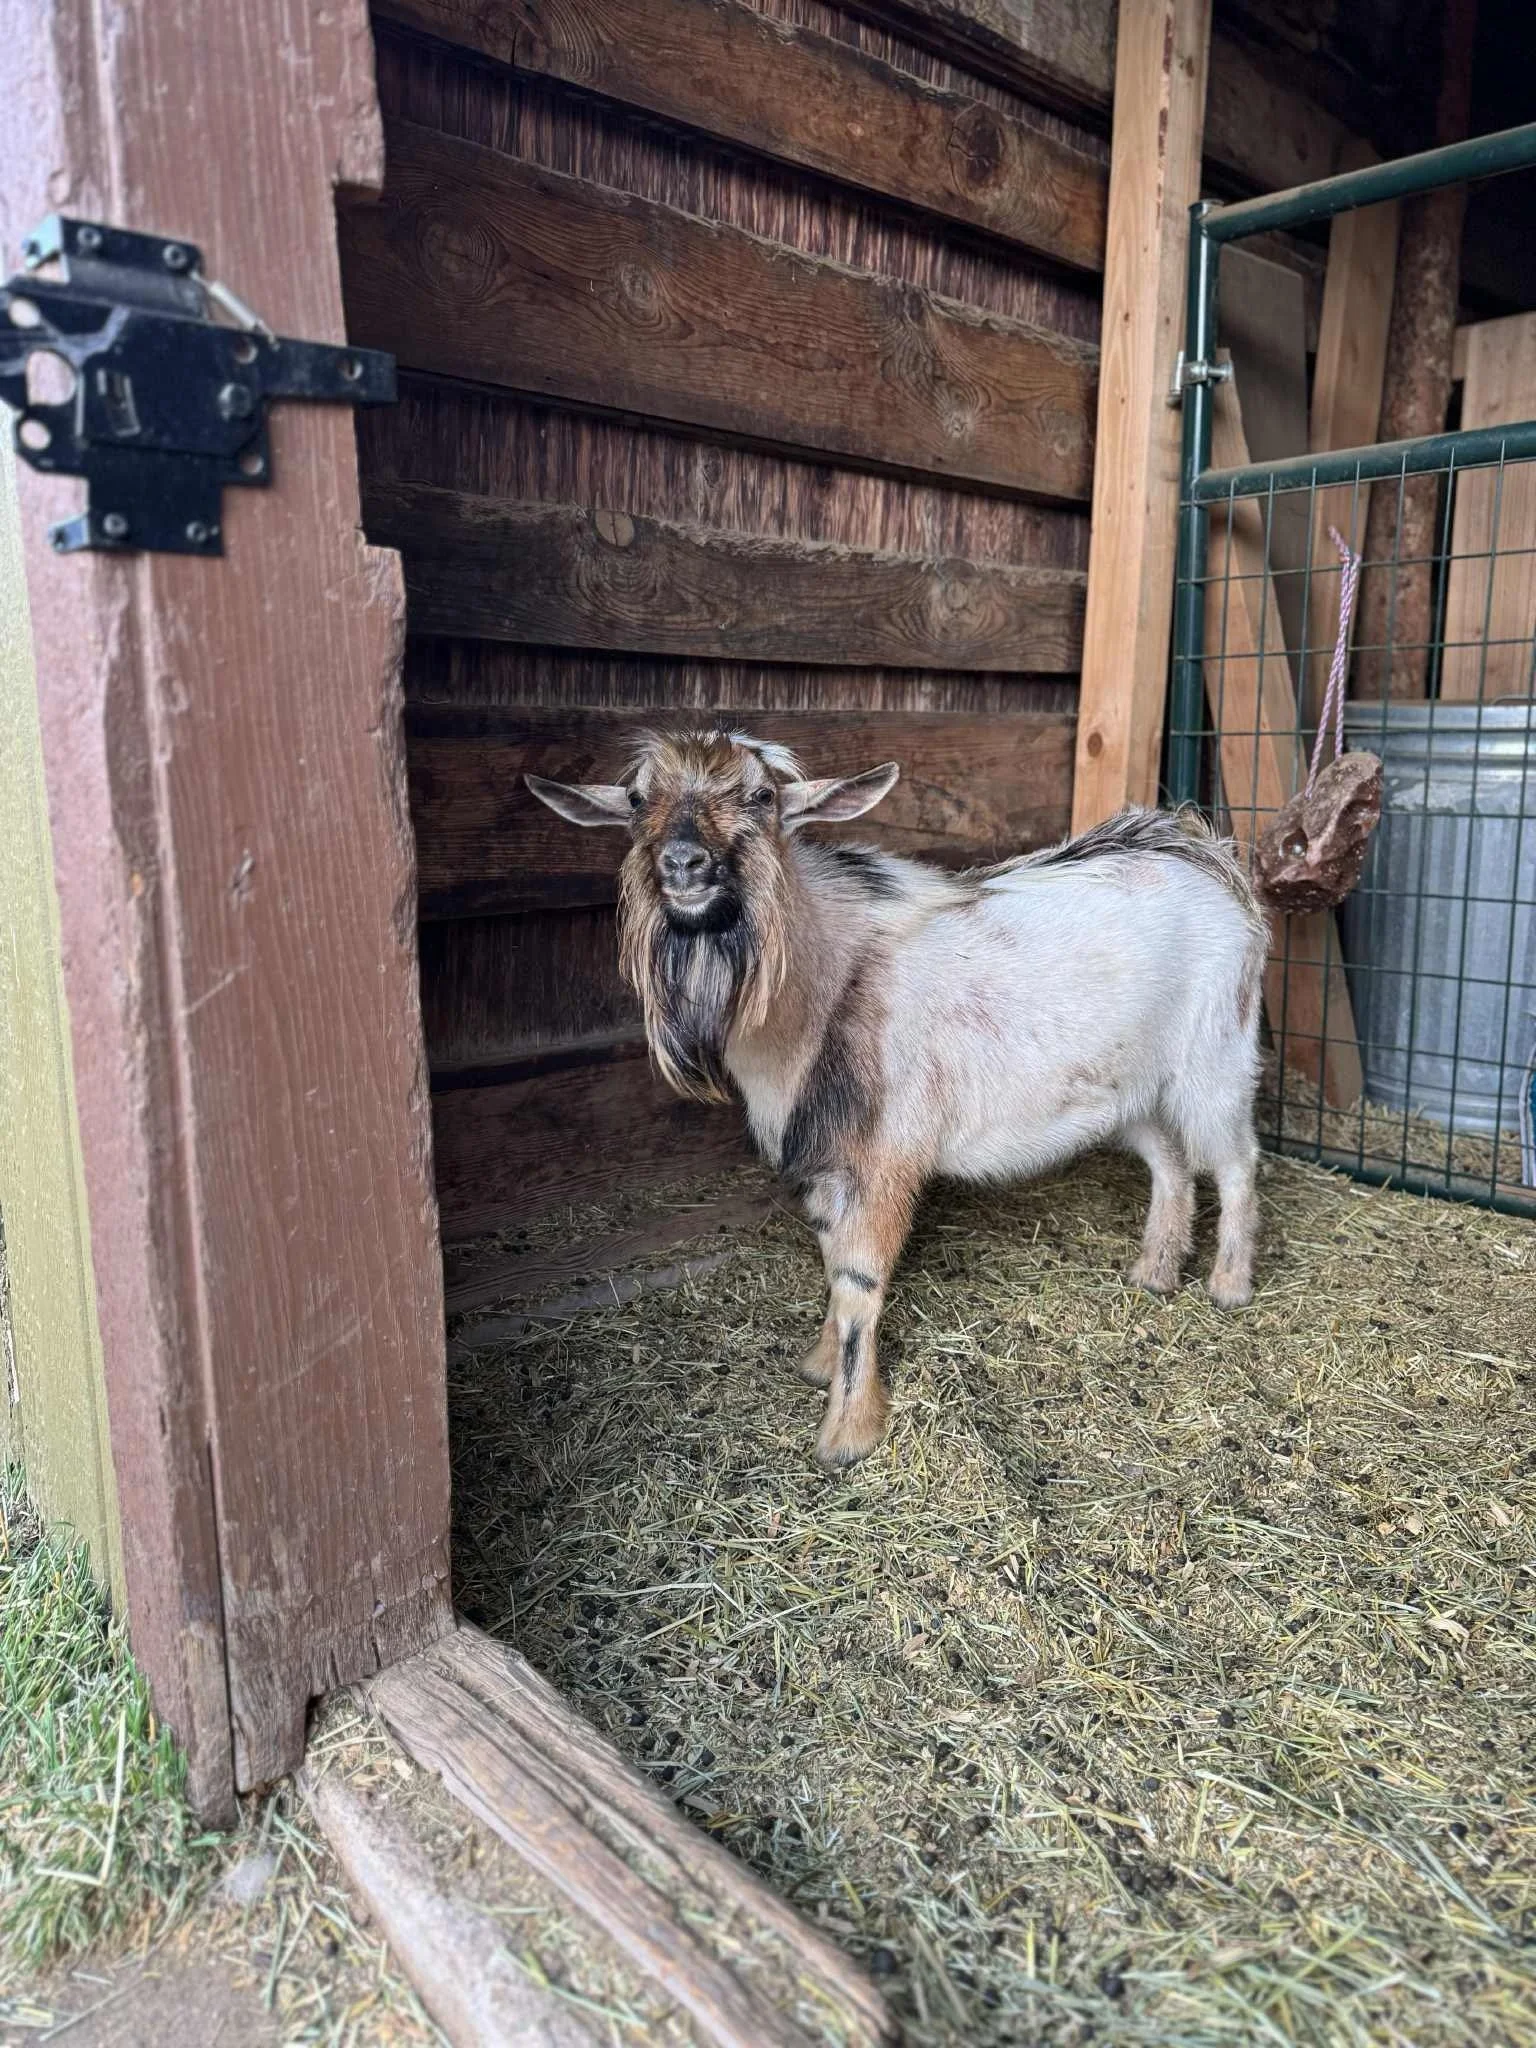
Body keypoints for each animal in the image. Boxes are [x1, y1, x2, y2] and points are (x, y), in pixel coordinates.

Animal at [528, 729, 1267, 1471]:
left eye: (762, 796)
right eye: (635, 799)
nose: (683, 864)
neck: (827, 983)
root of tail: (1206, 857)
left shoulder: (883, 1158)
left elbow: (858, 1280)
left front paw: (848, 1433)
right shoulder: (831, 1161)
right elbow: (832, 1264)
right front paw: (820, 1364)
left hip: (1215, 1060)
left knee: (1236, 1161)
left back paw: (1229, 1285)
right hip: (1131, 1089)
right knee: (1171, 1162)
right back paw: (1155, 1271)